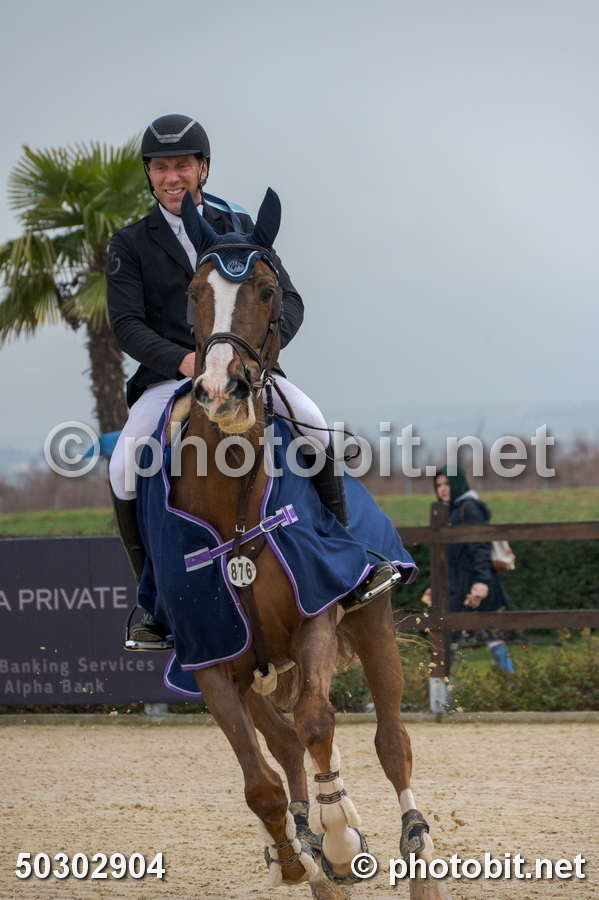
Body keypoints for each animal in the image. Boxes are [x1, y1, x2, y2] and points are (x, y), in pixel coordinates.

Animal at [158, 188, 449, 898]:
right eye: (193, 293)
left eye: (267, 290)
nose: (221, 390)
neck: (235, 513)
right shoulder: (214, 660)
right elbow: (263, 779)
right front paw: (300, 854)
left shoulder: (317, 610)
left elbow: (321, 721)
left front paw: (341, 841)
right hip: (259, 672)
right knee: (288, 746)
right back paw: (309, 840)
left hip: (369, 619)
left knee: (391, 740)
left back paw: (411, 843)